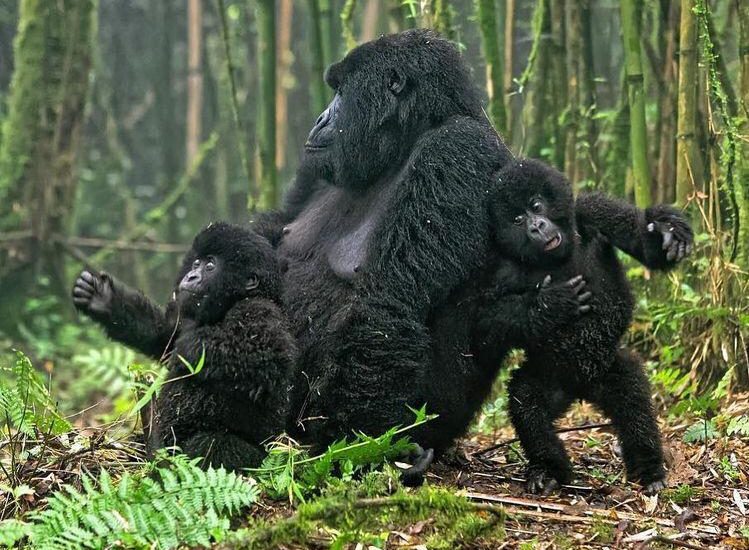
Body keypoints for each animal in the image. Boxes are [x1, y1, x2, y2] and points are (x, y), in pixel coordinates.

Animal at [73, 222, 296, 472]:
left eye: (210, 265)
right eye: (196, 263)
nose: (190, 275)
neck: (228, 305)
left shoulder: (259, 310)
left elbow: (267, 354)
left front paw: (189, 347)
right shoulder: (186, 317)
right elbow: (162, 336)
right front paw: (103, 299)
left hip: (261, 460)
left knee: (214, 445)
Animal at [251, 30, 688, 460]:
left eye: (341, 92)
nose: (320, 119)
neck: (405, 138)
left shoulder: (455, 150)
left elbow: (389, 304)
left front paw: (350, 445)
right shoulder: (316, 168)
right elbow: (266, 236)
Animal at [482, 160, 668, 496]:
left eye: (536, 206)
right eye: (517, 219)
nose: (536, 227)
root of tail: (582, 388)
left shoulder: (594, 209)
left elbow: (639, 239)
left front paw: (668, 235)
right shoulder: (503, 268)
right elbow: (488, 321)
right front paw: (551, 303)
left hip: (609, 368)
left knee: (633, 399)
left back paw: (648, 467)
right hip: (551, 378)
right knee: (526, 403)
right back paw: (549, 468)